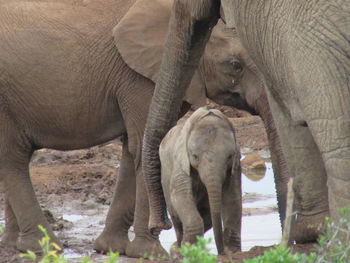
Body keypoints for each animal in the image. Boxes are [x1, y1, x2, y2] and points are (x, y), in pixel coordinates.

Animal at [160, 108, 242, 256]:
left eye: (229, 157)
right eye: (195, 156)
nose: (221, 253)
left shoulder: (236, 165)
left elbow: (233, 196)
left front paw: (233, 252)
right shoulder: (180, 162)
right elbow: (180, 195)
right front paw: (189, 251)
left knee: (207, 217)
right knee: (177, 219)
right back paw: (178, 249)